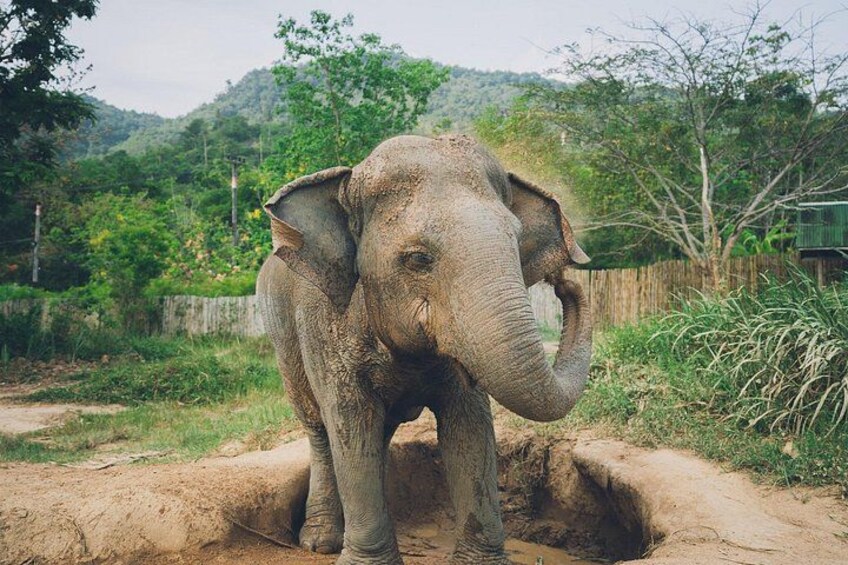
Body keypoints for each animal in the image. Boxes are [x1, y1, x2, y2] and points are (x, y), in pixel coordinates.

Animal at [256, 134, 592, 564]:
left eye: (517, 245)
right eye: (418, 259)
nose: (563, 278)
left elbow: (469, 428)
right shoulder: (325, 326)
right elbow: (351, 424)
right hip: (282, 334)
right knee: (319, 428)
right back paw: (320, 541)